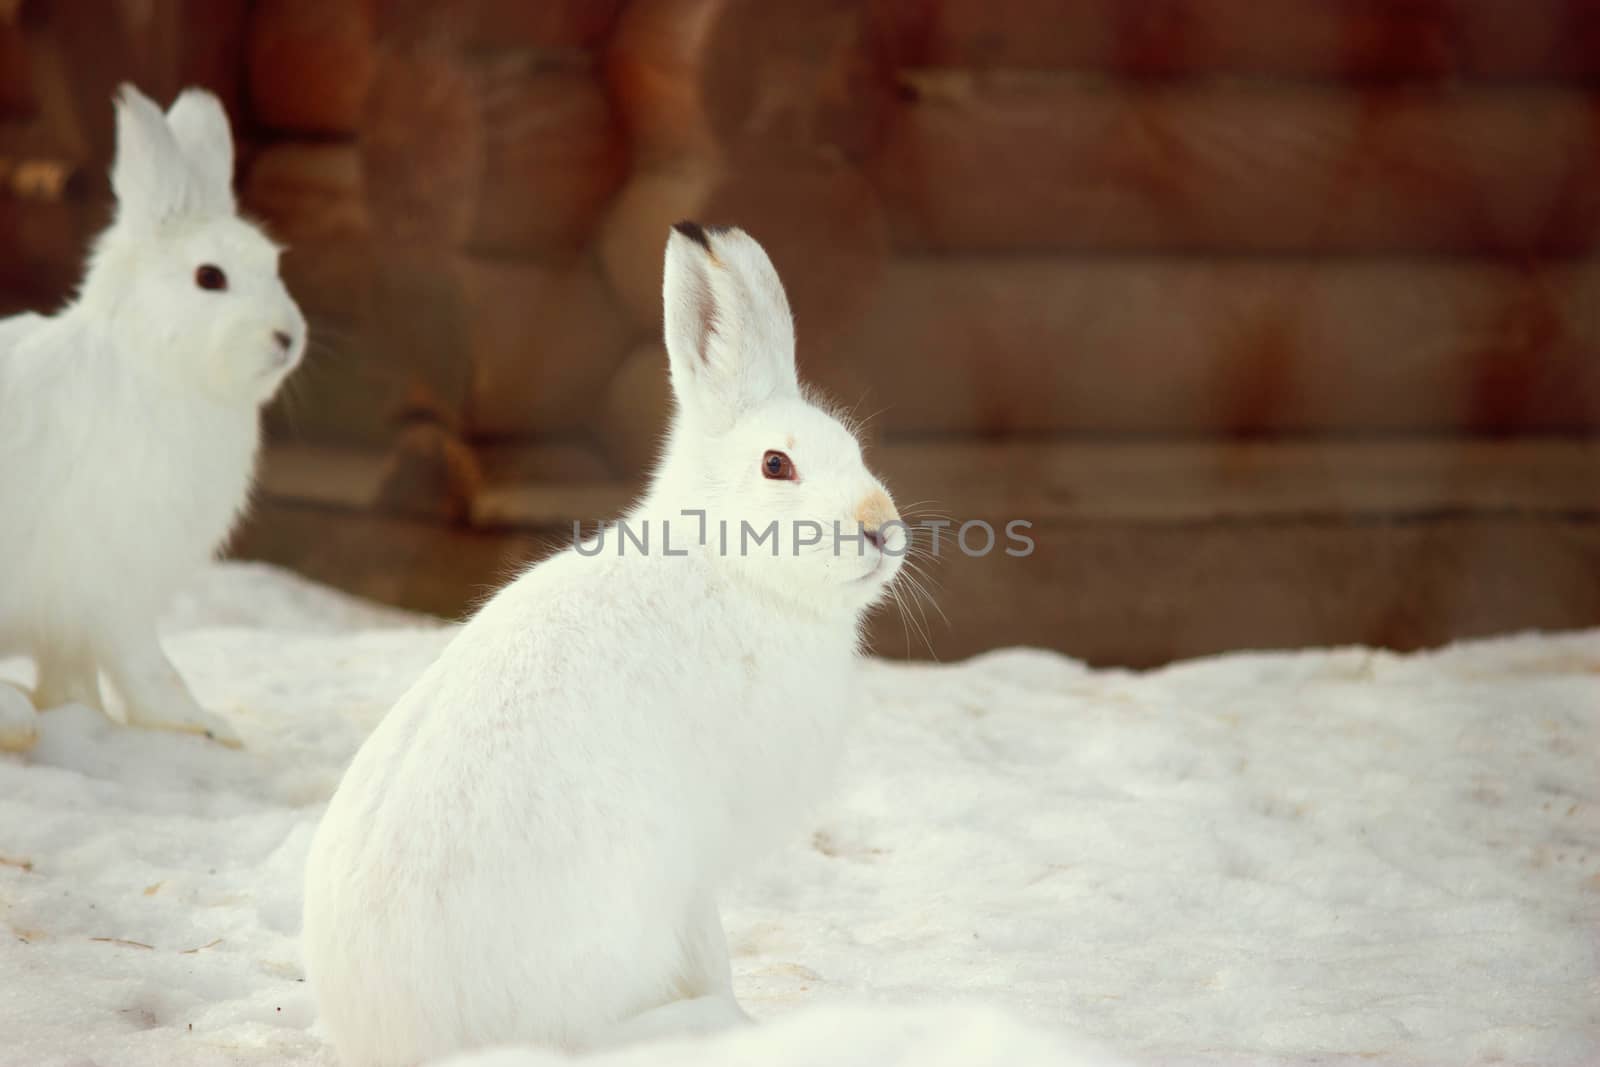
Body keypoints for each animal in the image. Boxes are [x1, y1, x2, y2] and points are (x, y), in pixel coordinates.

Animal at [0, 83, 305, 751]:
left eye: (274, 264)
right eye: (209, 277)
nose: (287, 338)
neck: (153, 365)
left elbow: (74, 671)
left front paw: (81, 713)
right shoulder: (117, 582)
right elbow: (146, 665)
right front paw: (204, 726)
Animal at [300, 223, 902, 1062]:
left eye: (854, 448)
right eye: (776, 465)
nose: (882, 526)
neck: (729, 567)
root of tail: (407, 1037)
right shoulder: (694, 866)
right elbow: (709, 947)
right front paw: (742, 1012)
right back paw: (708, 1023)